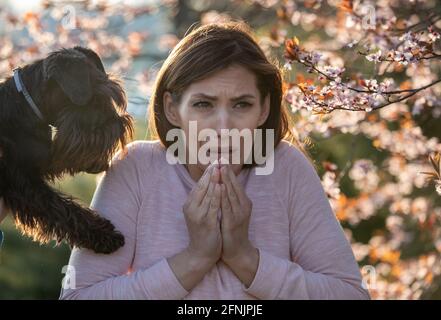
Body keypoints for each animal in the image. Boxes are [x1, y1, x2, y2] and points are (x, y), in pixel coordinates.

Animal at [0, 46, 134, 254]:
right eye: (97, 98)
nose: (119, 125)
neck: (27, 105)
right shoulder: (24, 179)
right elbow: (62, 208)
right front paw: (105, 235)